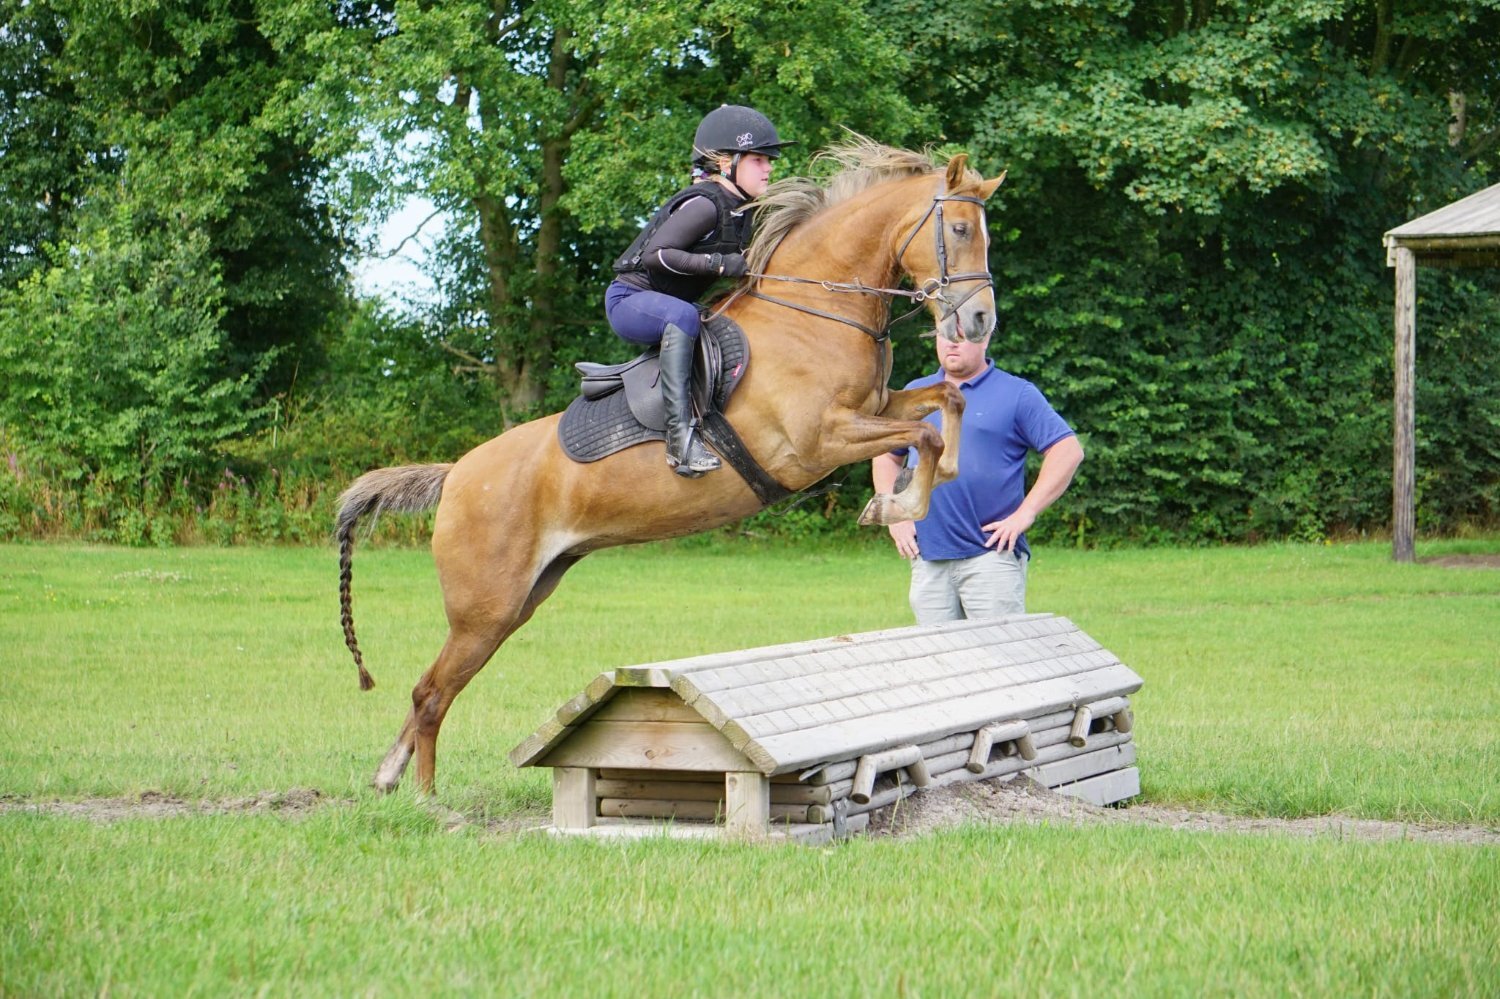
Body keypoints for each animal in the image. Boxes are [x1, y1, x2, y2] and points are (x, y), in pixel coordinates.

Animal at [337, 137, 1005, 793]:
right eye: (960, 229)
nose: (979, 322)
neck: (812, 310)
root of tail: (455, 475)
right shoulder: (818, 441)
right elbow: (925, 433)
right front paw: (894, 504)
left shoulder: (873, 409)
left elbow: (946, 405)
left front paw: (913, 490)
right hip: (487, 606)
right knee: (431, 694)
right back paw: (426, 800)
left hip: (521, 598)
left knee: (432, 687)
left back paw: (388, 780)